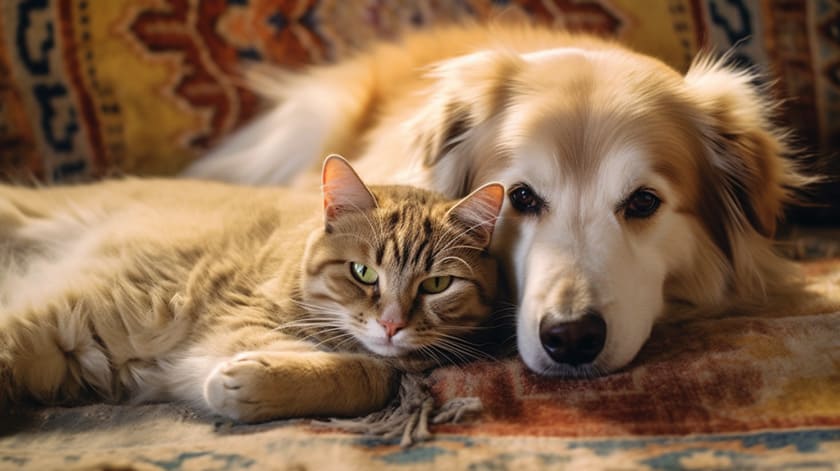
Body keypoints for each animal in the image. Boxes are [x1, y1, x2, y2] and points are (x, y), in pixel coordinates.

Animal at [0, 156, 502, 424]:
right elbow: (373, 372)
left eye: (436, 284)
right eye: (362, 272)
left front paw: (255, 383)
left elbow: (375, 374)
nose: (392, 324)